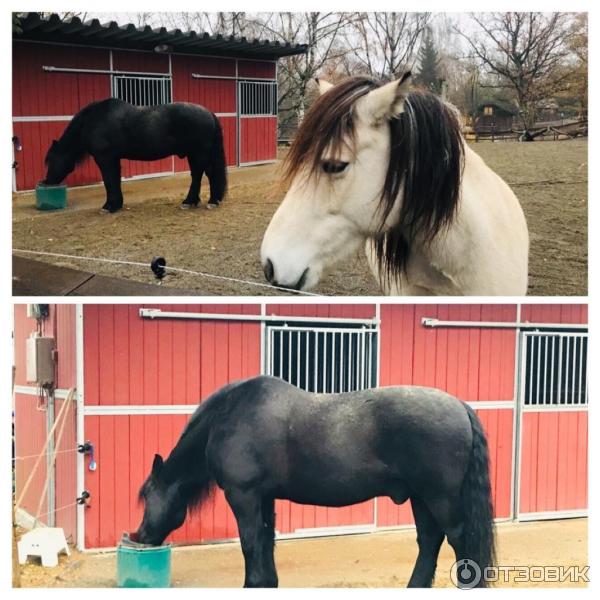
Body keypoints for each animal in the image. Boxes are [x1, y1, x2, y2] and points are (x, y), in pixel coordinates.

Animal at [42, 97, 227, 212]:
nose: (47, 181)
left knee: (204, 174)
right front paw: (116, 204)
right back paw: (194, 202)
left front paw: (108, 206)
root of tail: (209, 113)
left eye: (51, 160)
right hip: (193, 154)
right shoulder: (114, 158)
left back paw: (204, 202)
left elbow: (109, 181)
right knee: (199, 175)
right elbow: (115, 180)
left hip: (199, 153)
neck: (95, 120)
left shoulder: (105, 158)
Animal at [137, 378, 496, 588]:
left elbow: (251, 543)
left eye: (146, 497)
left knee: (458, 540)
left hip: (439, 497)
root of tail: (460, 406)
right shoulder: (264, 498)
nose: (139, 536)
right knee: (430, 541)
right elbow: (266, 541)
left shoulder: (244, 496)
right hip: (421, 497)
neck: (230, 417)